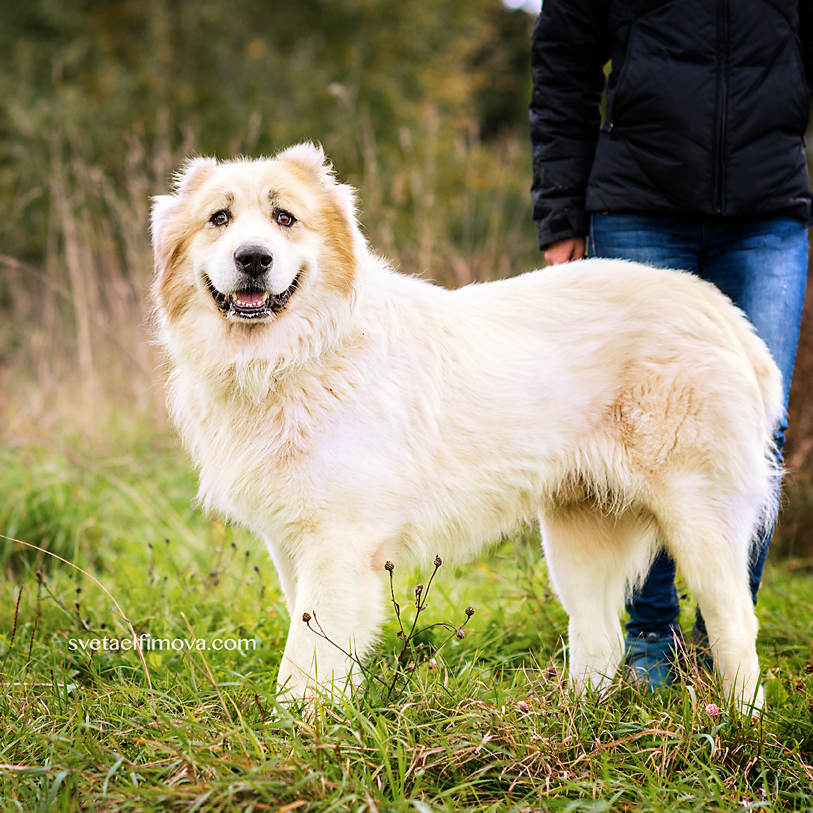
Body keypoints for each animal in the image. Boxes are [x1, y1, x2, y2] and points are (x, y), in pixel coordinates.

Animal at [151, 143, 780, 708]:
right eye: (220, 219)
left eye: (284, 218)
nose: (253, 258)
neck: (294, 356)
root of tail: (717, 307)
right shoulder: (292, 544)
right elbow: (309, 639)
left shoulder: (338, 543)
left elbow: (307, 660)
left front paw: (303, 735)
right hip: (578, 539)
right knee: (599, 636)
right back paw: (577, 722)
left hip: (700, 523)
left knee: (734, 629)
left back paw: (737, 725)